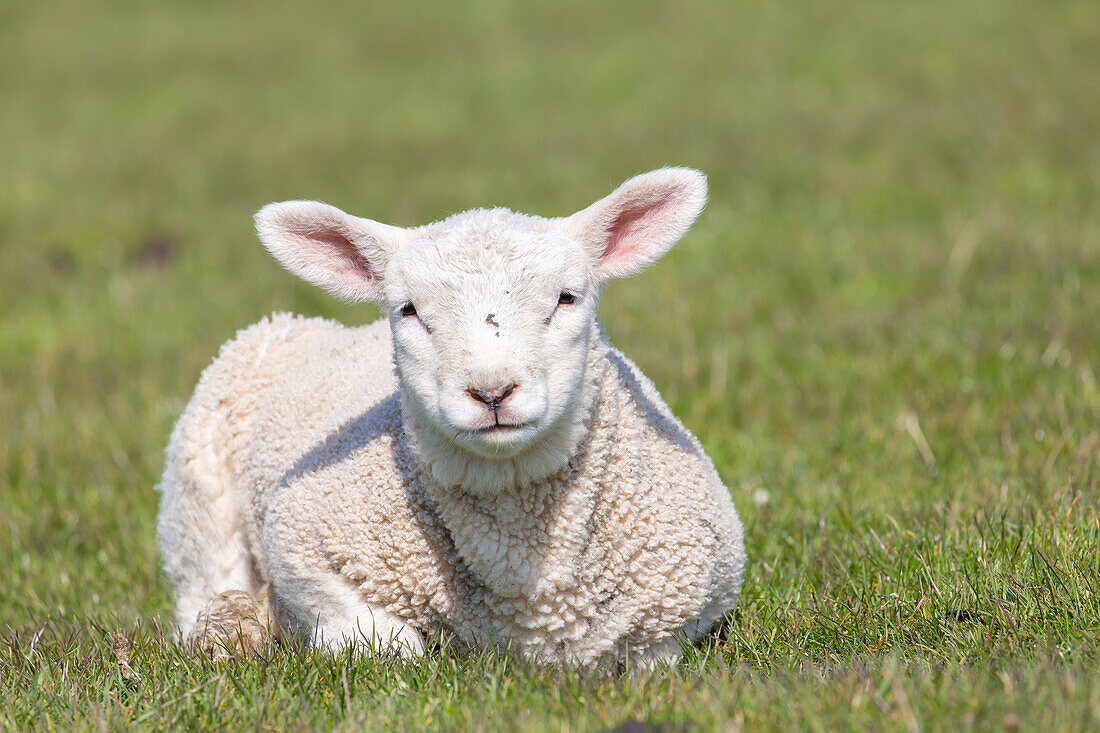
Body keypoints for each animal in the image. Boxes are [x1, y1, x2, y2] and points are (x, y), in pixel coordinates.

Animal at [157, 167, 748, 669]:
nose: (491, 391)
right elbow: (386, 646)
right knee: (201, 583)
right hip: (196, 496)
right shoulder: (301, 542)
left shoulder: (692, 597)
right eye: (408, 309)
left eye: (567, 298)